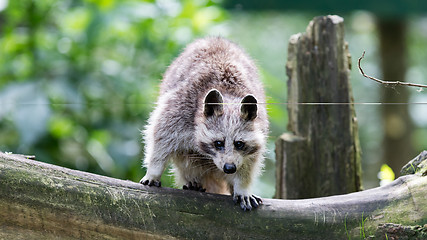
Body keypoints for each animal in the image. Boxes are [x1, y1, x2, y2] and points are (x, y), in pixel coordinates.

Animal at [140, 36, 268, 211]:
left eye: (239, 144)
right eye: (218, 143)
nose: (229, 168)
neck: (228, 94)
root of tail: (216, 38)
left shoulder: (259, 126)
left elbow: (250, 162)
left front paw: (242, 186)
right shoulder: (180, 108)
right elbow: (160, 136)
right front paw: (154, 171)